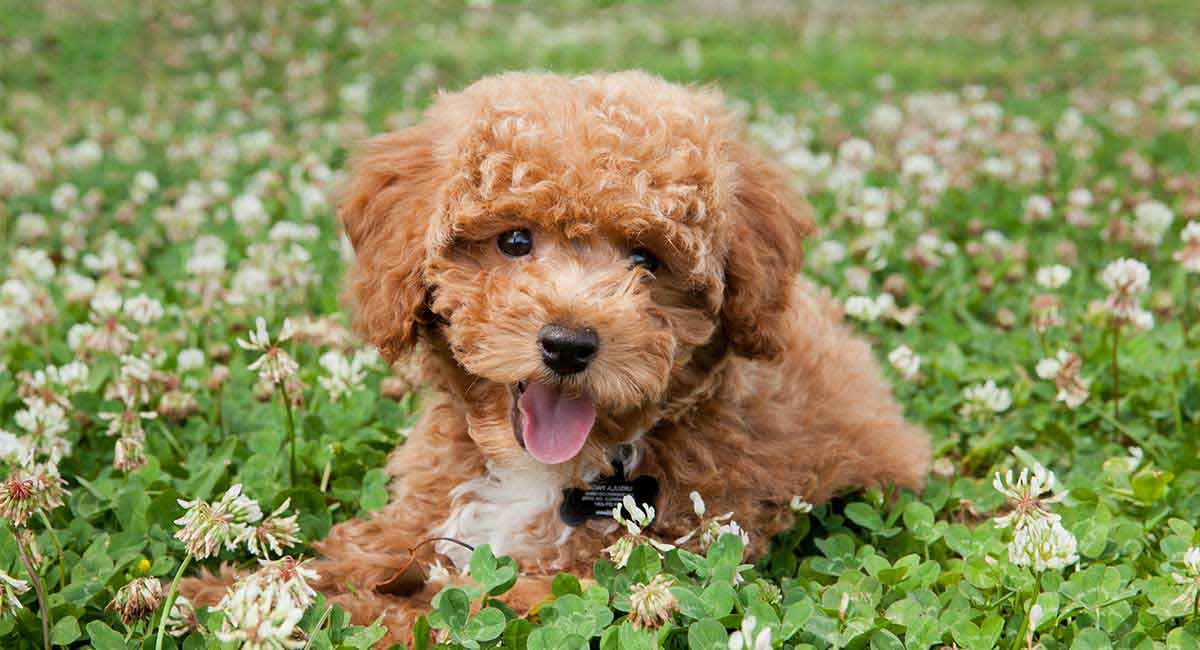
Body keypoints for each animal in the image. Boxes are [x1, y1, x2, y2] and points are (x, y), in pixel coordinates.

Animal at [180, 71, 926, 647]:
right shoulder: (419, 516)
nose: (568, 344)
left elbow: (419, 616)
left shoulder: (578, 581)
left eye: (645, 259)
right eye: (514, 240)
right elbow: (351, 555)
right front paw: (222, 592)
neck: (539, 469)